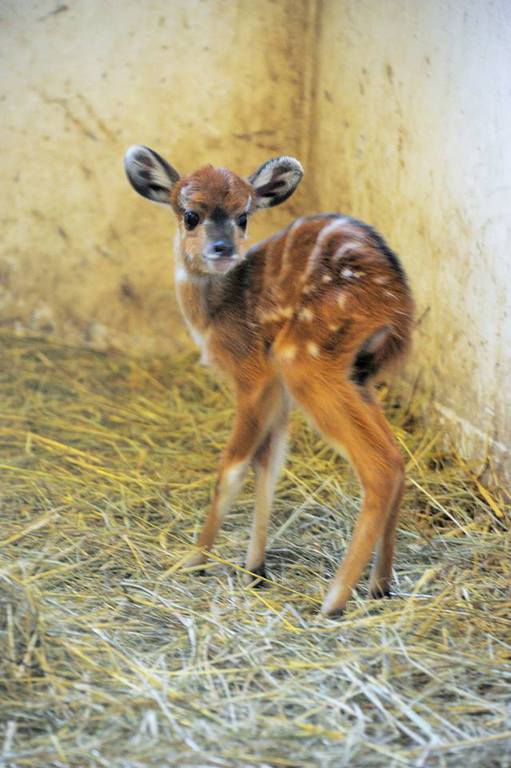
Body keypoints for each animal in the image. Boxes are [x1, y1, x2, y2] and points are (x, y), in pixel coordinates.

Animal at [125, 146, 416, 616]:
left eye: (243, 215)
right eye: (190, 214)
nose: (223, 248)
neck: (217, 312)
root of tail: (400, 307)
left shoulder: (253, 374)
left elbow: (232, 467)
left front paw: (193, 561)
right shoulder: (276, 393)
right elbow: (270, 464)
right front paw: (254, 568)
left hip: (307, 361)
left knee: (381, 465)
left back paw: (333, 600)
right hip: (358, 374)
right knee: (397, 454)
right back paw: (380, 583)